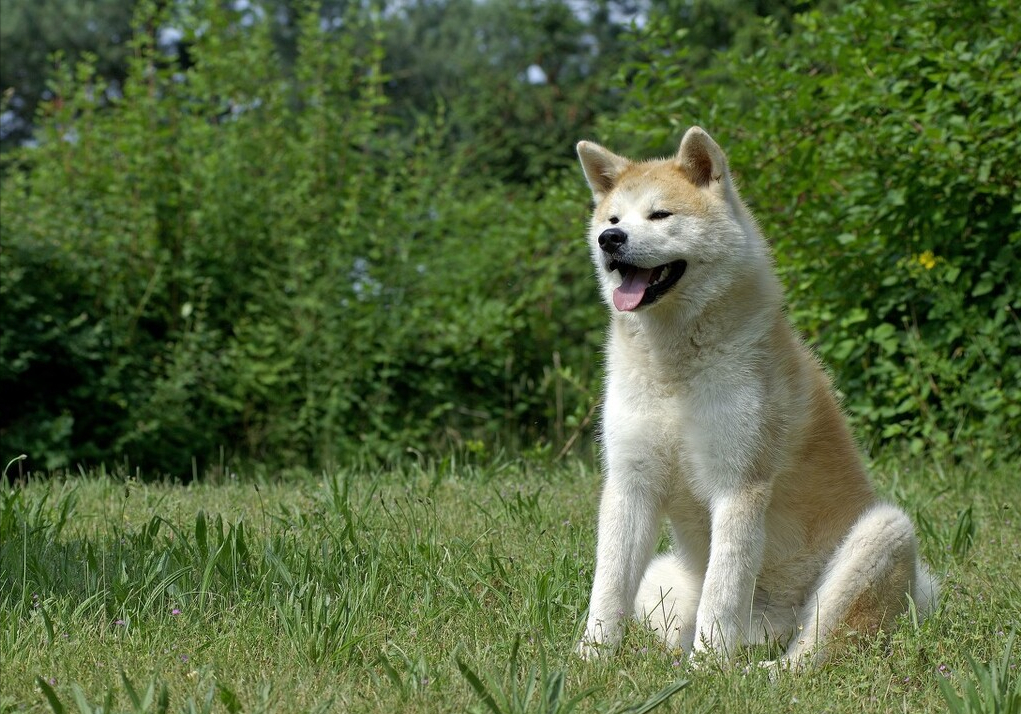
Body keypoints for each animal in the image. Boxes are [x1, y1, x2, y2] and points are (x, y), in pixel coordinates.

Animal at [571, 125, 935, 665]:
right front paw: (590, 659)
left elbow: (722, 594)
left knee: (810, 654)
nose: (609, 239)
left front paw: (704, 669)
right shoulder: (631, 483)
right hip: (662, 579)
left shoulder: (739, 485)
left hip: (881, 536)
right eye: (613, 219)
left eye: (660, 215)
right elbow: (609, 586)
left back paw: (751, 671)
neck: (675, 367)